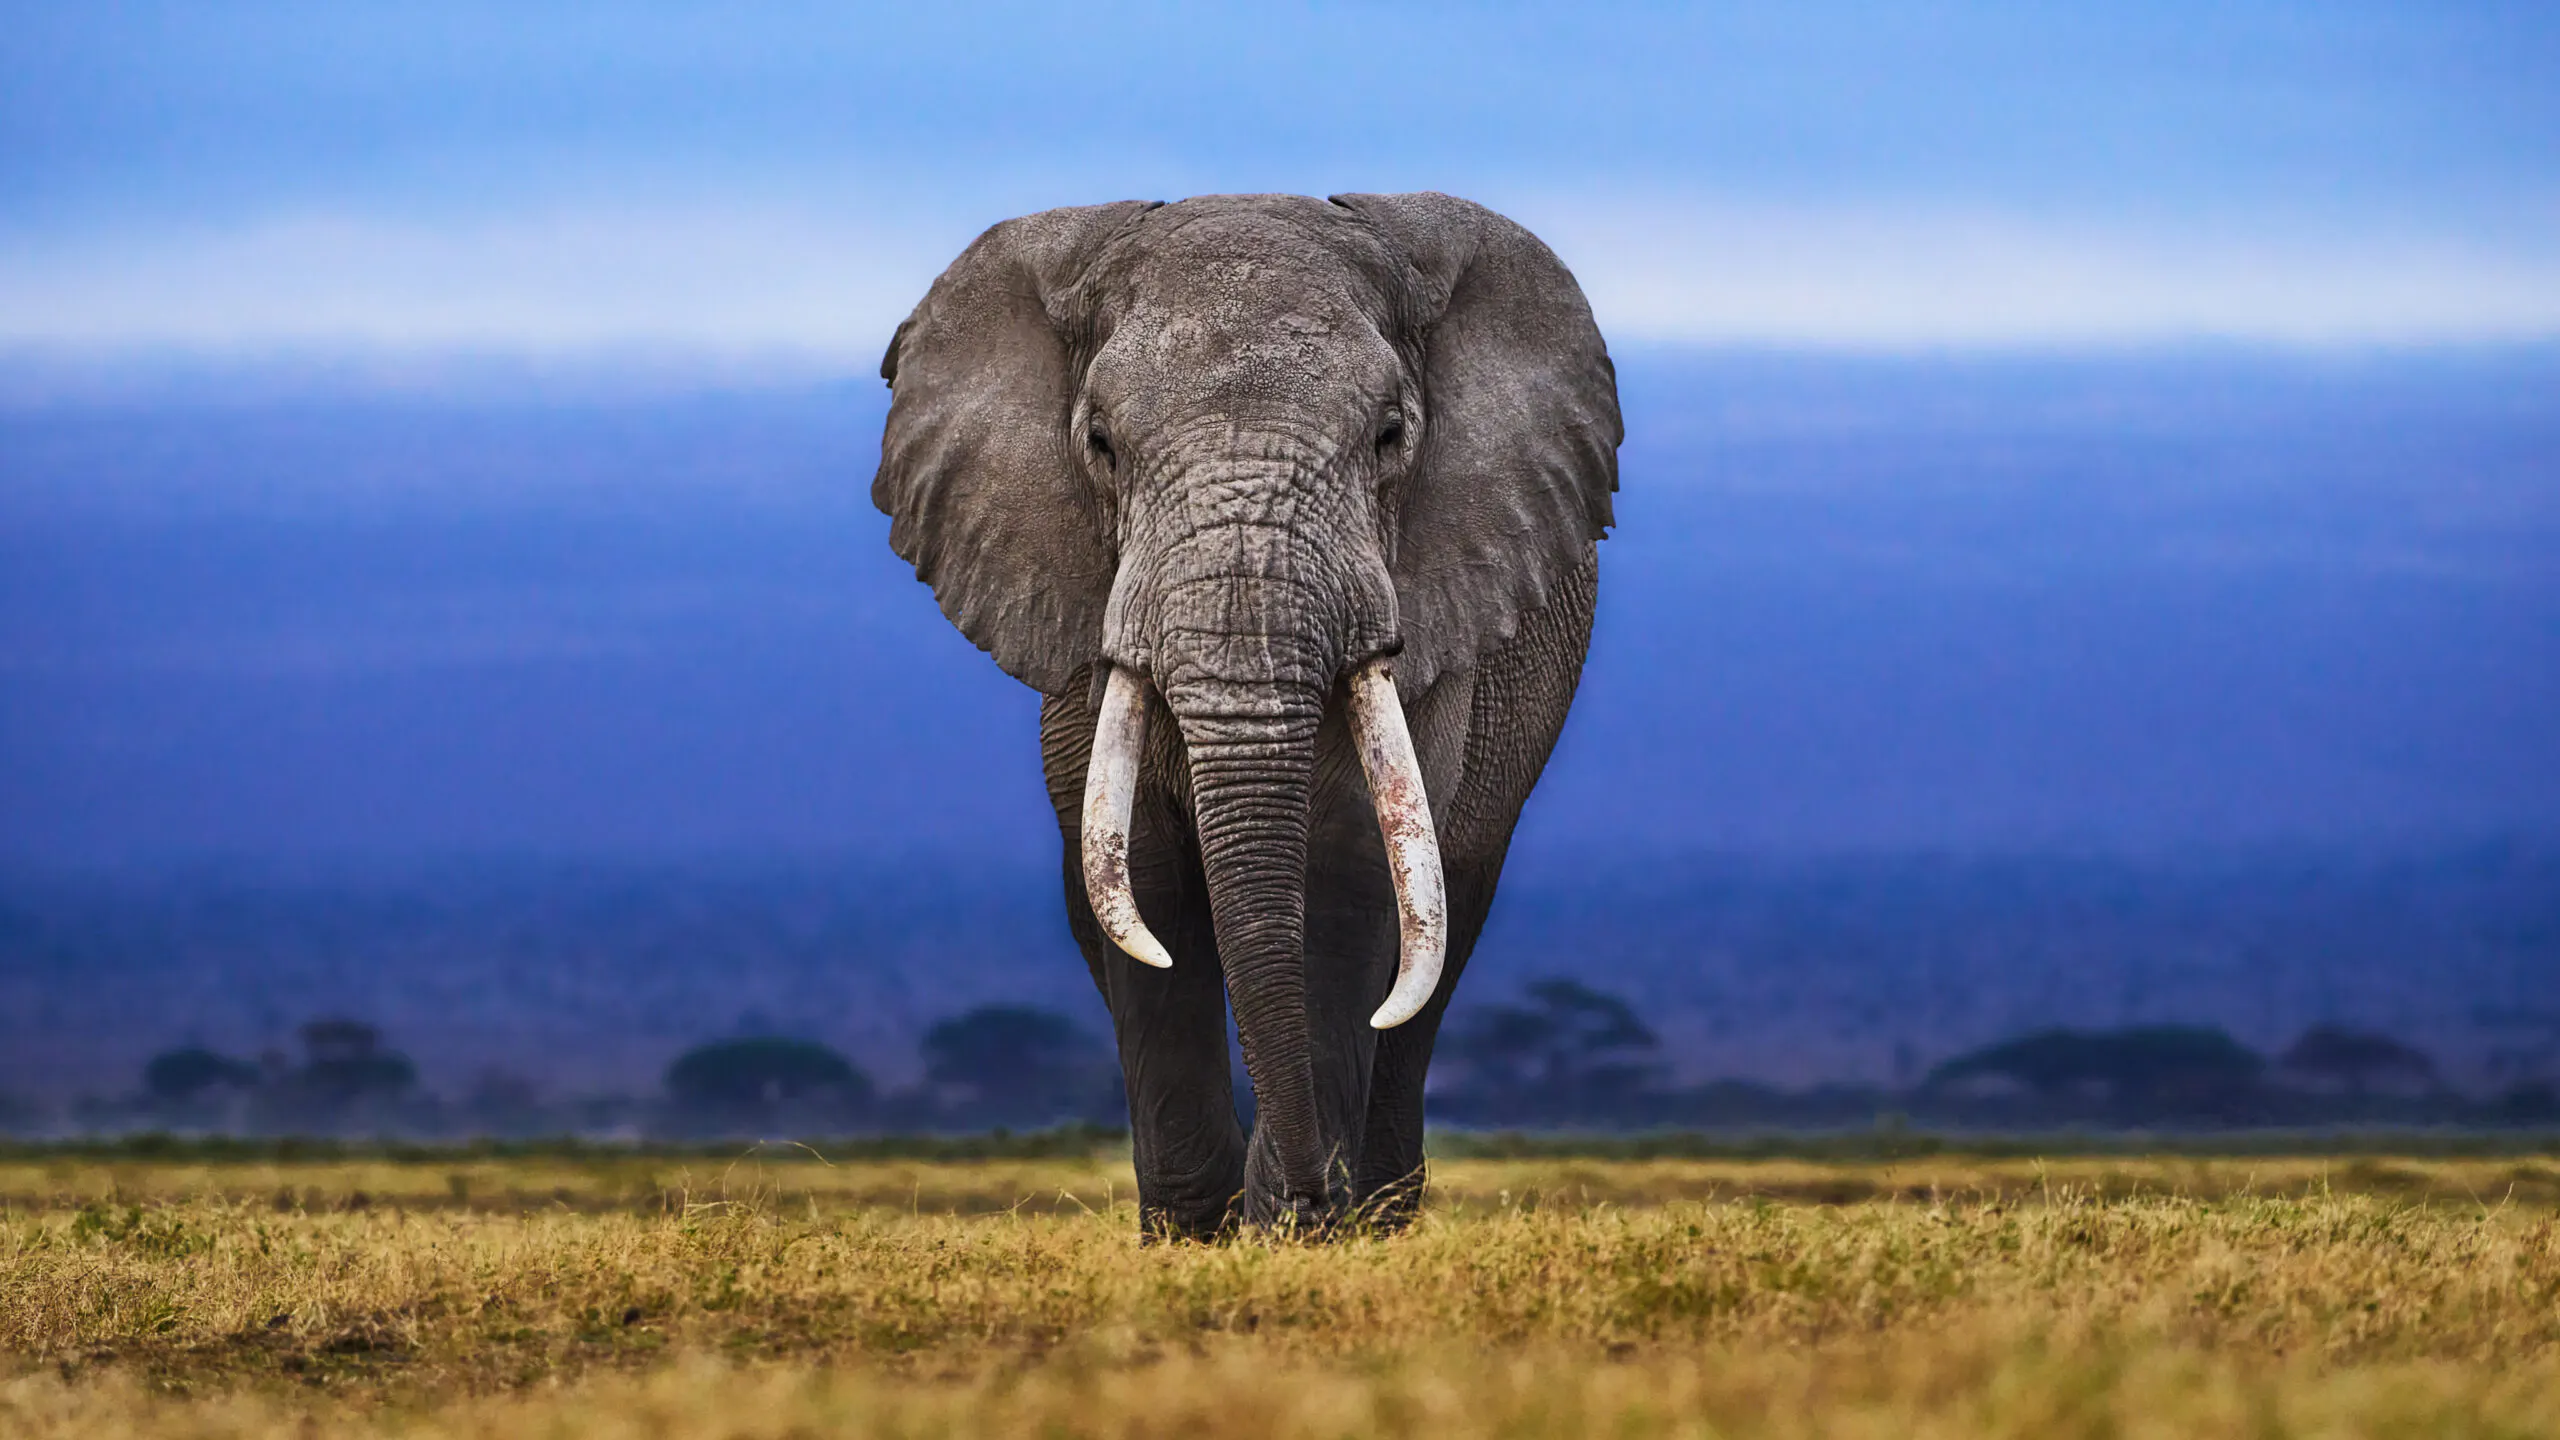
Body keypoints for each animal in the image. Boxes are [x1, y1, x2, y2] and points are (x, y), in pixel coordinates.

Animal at [874, 192, 1620, 1237]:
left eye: (1390, 436)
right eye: (1100, 446)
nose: (1307, 1194)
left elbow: (1349, 872)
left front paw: (1296, 1229)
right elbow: (1144, 884)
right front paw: (1199, 1234)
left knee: (1439, 942)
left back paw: (1377, 1211)